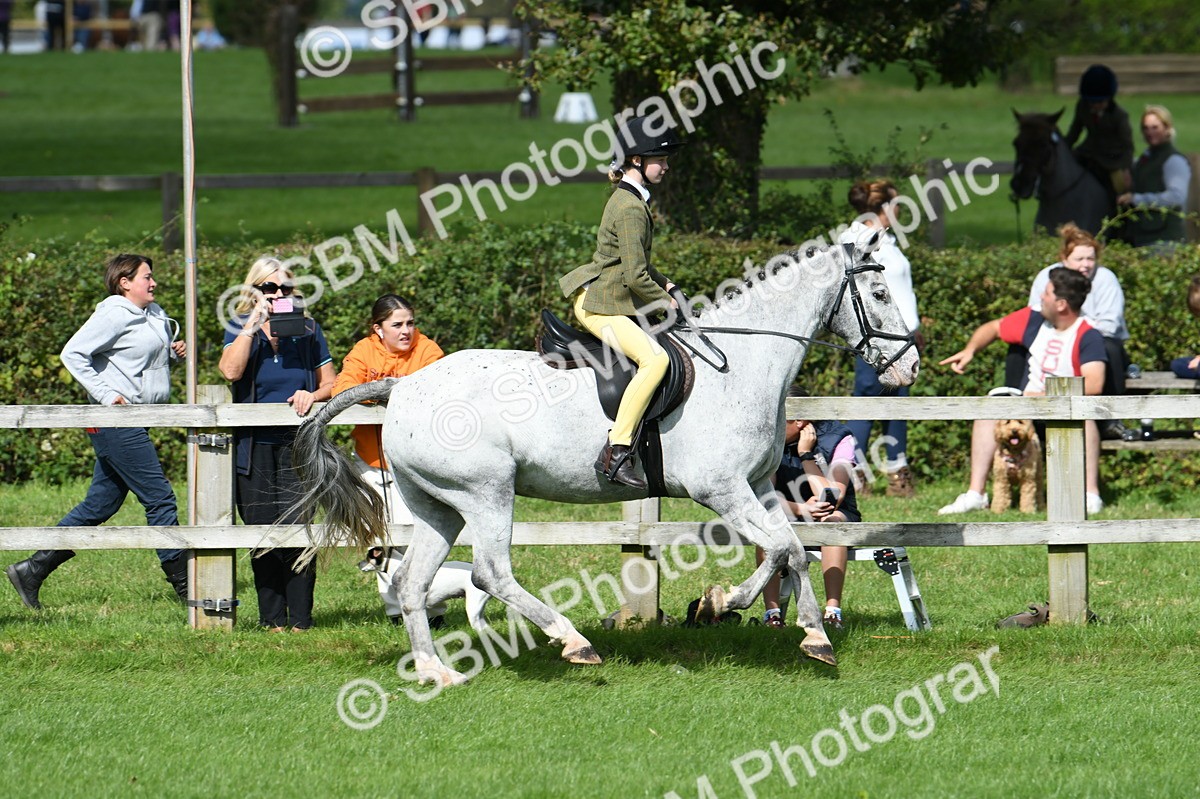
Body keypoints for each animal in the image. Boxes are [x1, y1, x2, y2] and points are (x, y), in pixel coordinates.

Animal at [293, 239, 920, 687]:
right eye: (880, 294)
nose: (909, 369)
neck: (740, 363)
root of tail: (402, 386)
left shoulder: (761, 486)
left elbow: (791, 549)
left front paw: (813, 636)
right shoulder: (722, 490)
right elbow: (785, 550)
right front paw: (721, 604)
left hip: (436, 506)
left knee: (413, 581)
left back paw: (435, 672)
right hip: (486, 492)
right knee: (489, 572)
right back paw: (573, 642)